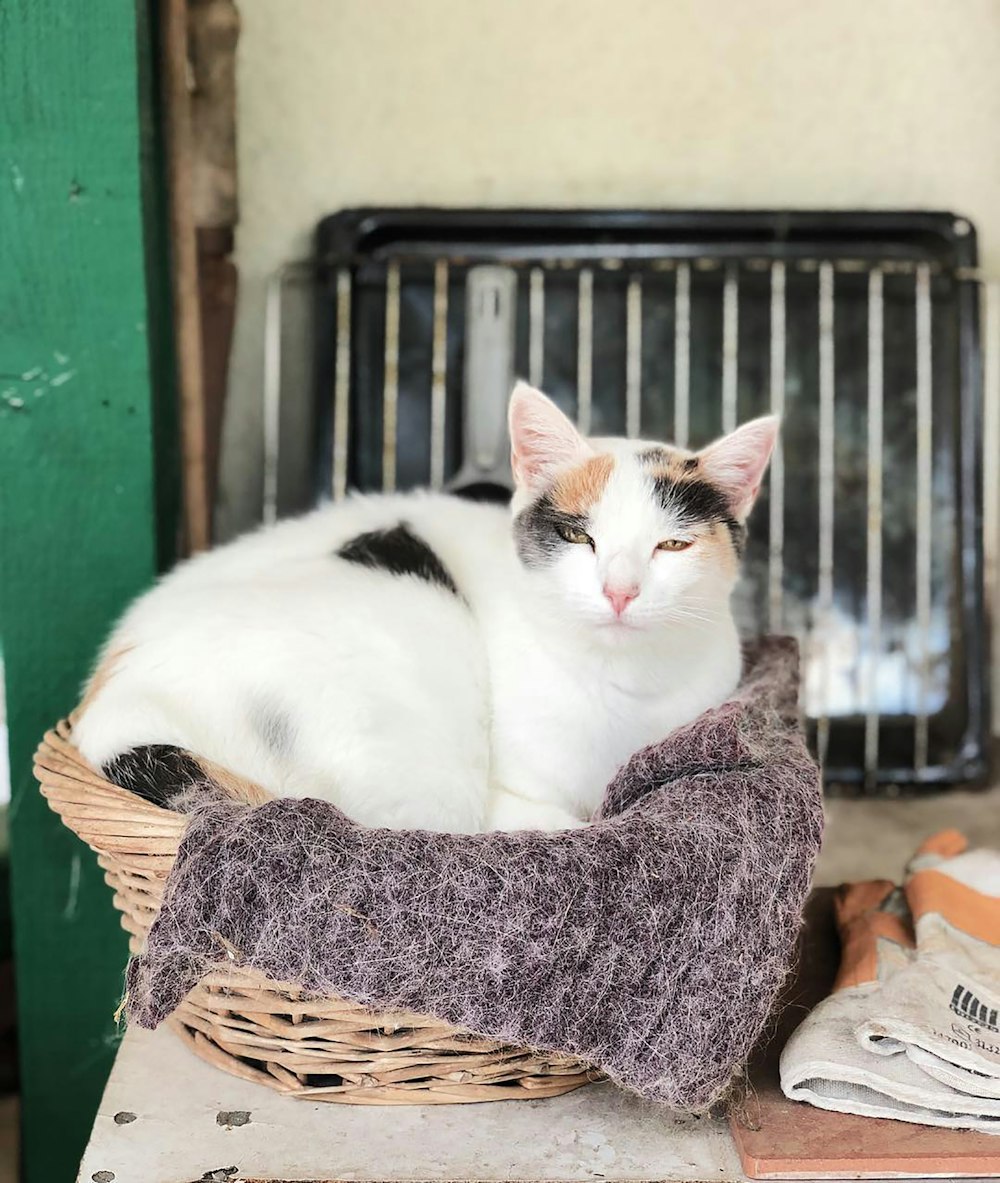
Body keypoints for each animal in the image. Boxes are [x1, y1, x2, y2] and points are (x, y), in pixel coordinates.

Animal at [76, 383, 781, 828]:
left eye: (672, 545)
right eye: (579, 537)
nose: (620, 590)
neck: (625, 689)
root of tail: (110, 709)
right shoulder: (506, 801)